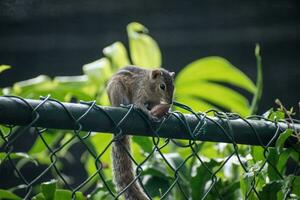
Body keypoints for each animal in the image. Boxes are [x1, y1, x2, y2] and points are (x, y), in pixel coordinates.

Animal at [106, 66, 175, 200]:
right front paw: (149, 114)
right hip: (116, 89)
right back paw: (125, 106)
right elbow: (139, 105)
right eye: (162, 86)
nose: (170, 102)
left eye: (173, 86)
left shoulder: (154, 101)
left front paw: (166, 112)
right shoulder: (140, 91)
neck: (150, 86)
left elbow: (154, 106)